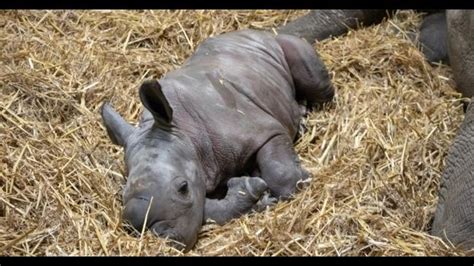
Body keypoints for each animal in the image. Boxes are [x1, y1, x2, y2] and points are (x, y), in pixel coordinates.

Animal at [102, 29, 336, 251]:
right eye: (122, 195)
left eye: (183, 188)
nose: (162, 237)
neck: (183, 130)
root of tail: (257, 32)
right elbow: (208, 211)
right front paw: (257, 196)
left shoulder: (265, 131)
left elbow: (281, 174)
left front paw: (299, 180)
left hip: (281, 47)